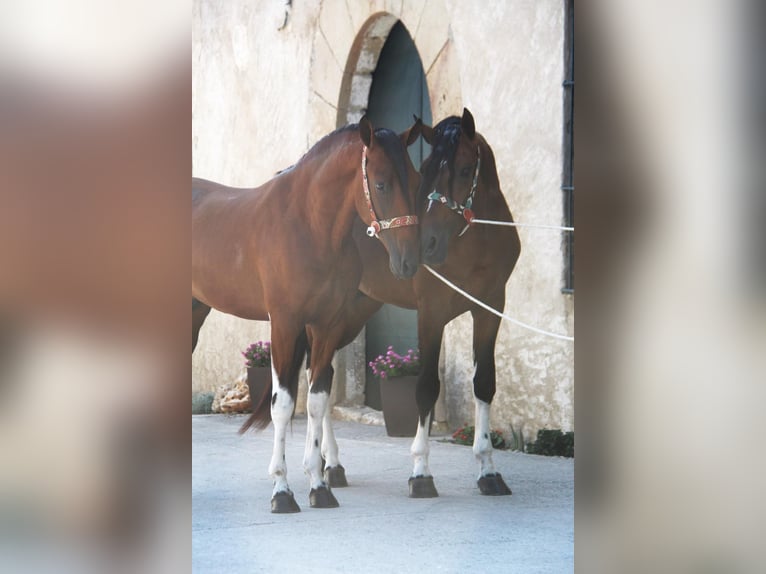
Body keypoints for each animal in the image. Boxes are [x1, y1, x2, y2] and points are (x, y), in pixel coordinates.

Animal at [192, 119, 424, 516]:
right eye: (381, 183)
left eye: (414, 179)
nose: (408, 262)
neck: (309, 227)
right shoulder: (285, 323)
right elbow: (283, 406)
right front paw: (282, 492)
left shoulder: (326, 325)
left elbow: (317, 400)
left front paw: (319, 485)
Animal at [314, 110, 520, 498]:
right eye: (425, 169)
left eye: (466, 169)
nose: (428, 244)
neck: (475, 243)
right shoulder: (431, 312)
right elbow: (425, 388)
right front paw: (421, 472)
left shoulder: (490, 308)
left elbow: (484, 383)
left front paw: (488, 470)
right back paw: (328, 464)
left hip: (354, 311)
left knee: (323, 376)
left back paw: (327, 465)